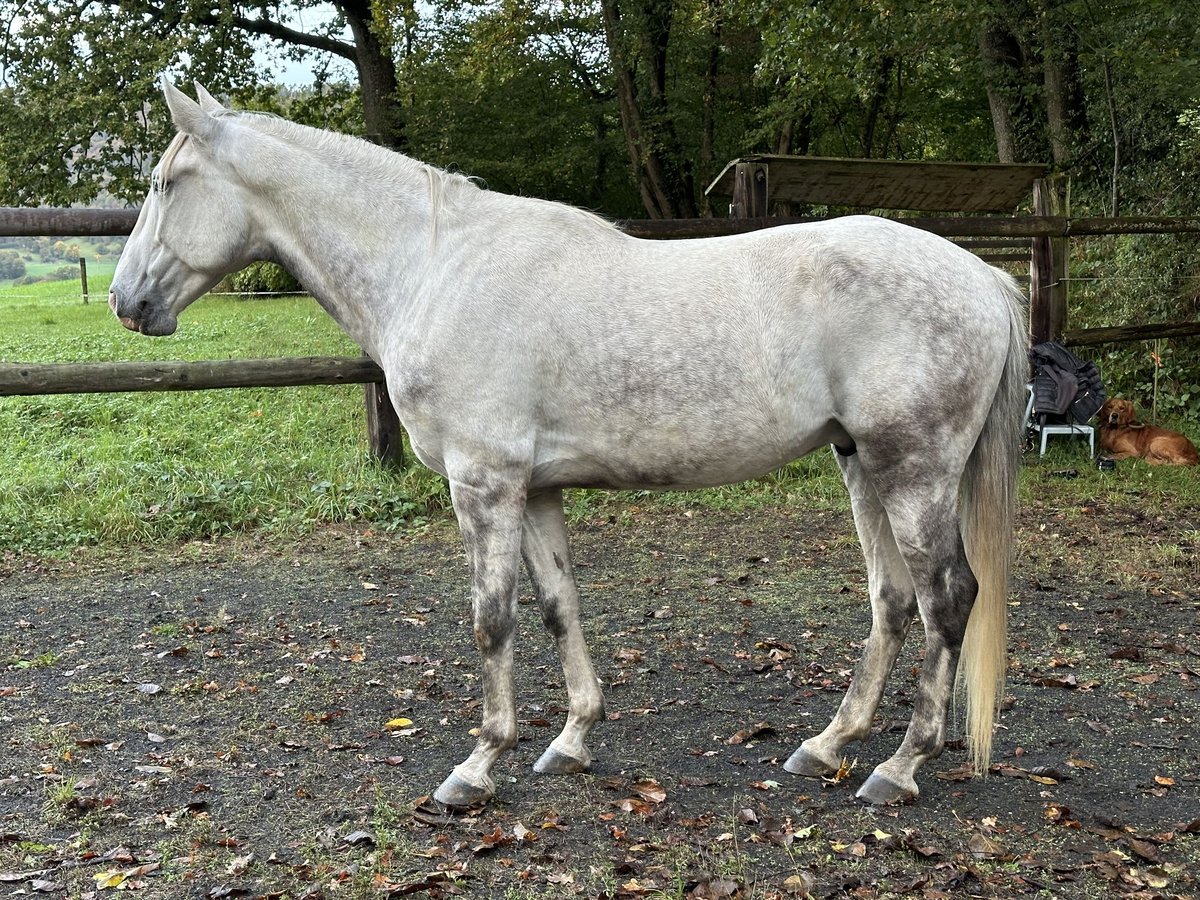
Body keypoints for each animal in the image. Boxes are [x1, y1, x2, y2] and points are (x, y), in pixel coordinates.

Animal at [112, 79, 1027, 811]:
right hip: (861, 466)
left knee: (948, 600)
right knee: (893, 601)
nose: (126, 301)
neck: (434, 268)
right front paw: (571, 742)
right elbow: (559, 606)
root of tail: (984, 278)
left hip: (912, 471)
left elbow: (491, 621)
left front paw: (478, 766)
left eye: (164, 183)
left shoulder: (483, 484)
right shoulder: (536, 487)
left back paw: (899, 768)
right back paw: (829, 744)